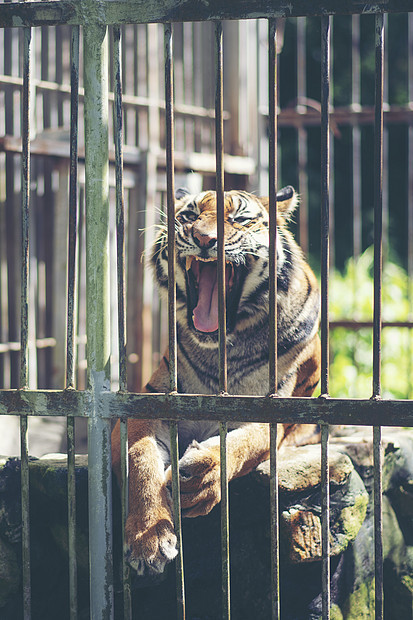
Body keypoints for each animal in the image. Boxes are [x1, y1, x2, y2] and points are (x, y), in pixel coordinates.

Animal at [111, 185, 320, 576]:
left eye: (239, 219)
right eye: (189, 216)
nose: (205, 239)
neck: (220, 351)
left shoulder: (274, 414)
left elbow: (242, 444)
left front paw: (202, 478)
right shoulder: (152, 401)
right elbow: (140, 456)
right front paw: (149, 538)